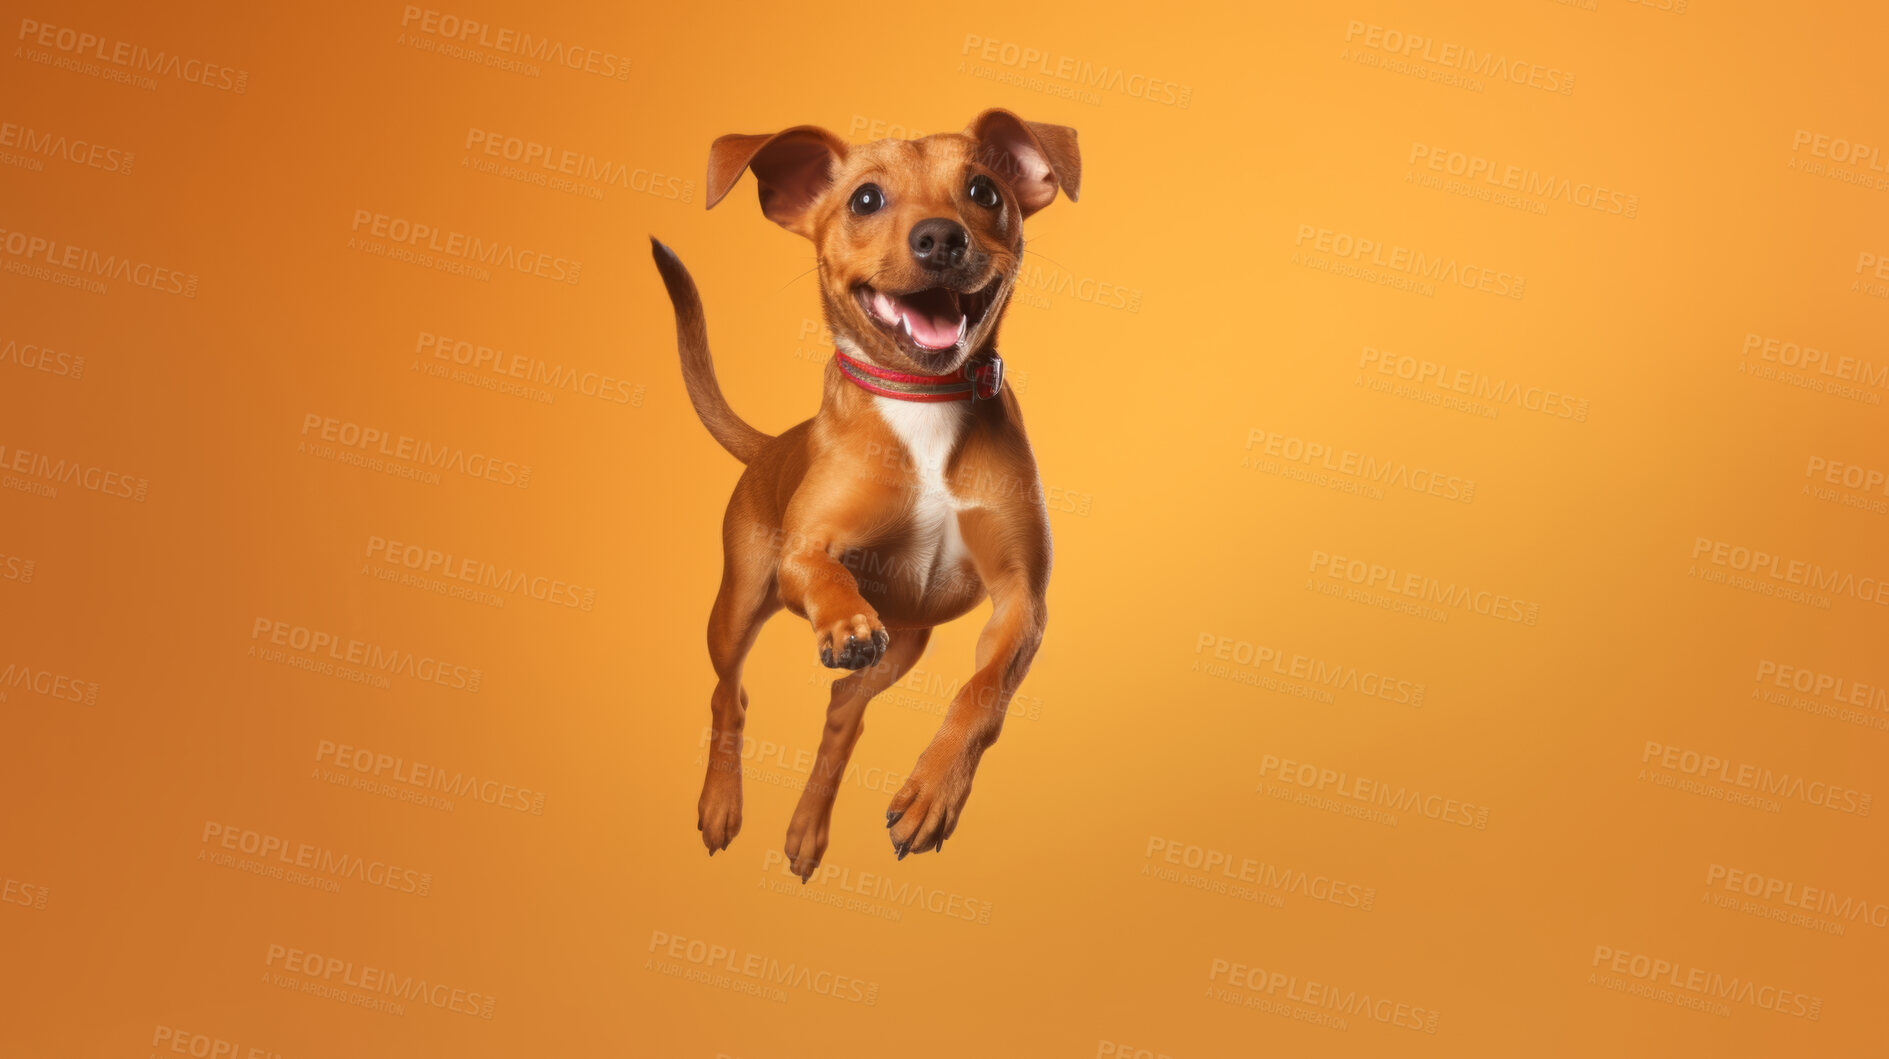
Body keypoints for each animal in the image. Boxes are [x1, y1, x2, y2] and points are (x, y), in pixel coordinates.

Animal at [657, 109, 1080, 875]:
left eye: (984, 190)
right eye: (865, 200)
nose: (940, 237)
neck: (922, 401)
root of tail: (773, 445)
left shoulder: (1020, 601)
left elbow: (982, 693)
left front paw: (932, 793)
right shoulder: (805, 551)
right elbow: (826, 573)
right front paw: (844, 620)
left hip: (905, 646)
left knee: (842, 710)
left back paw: (807, 830)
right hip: (736, 609)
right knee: (729, 695)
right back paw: (721, 804)